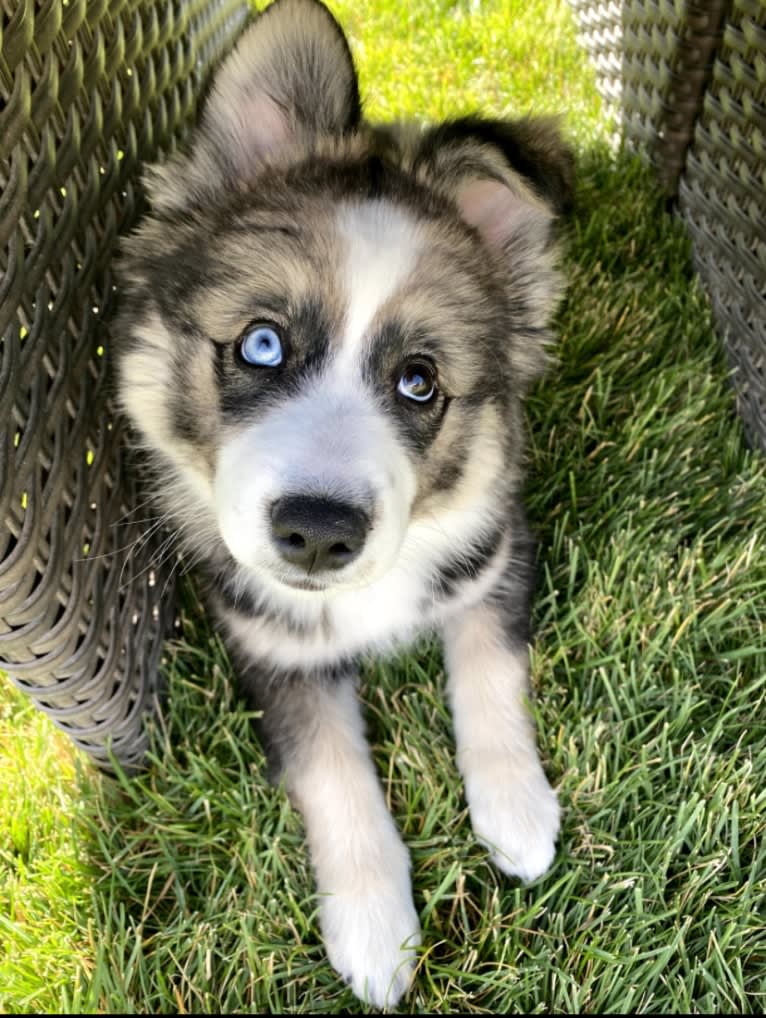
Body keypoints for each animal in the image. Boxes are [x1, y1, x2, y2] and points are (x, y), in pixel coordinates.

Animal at [115, 0, 574, 1001]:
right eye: (260, 344)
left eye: (419, 381)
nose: (318, 536)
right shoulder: (269, 645)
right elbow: (332, 771)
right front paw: (373, 930)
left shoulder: (495, 547)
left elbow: (489, 666)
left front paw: (516, 811)